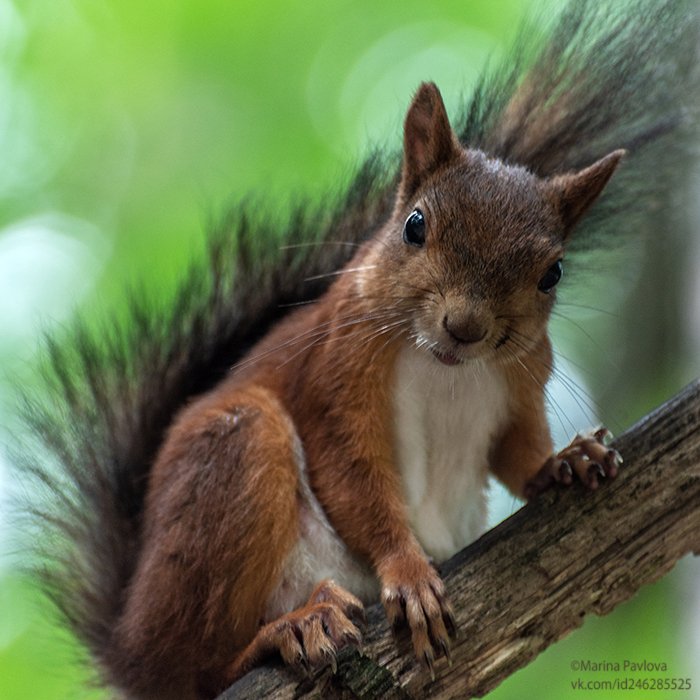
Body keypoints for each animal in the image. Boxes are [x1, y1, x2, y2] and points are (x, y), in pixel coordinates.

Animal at [13, 1, 696, 700]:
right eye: (414, 226)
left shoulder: (522, 384)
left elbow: (517, 451)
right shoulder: (334, 375)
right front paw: (410, 572)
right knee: (197, 666)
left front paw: (567, 459)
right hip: (233, 463)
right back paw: (288, 628)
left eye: (553, 273)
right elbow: (354, 479)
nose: (465, 327)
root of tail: (128, 648)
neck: (446, 371)